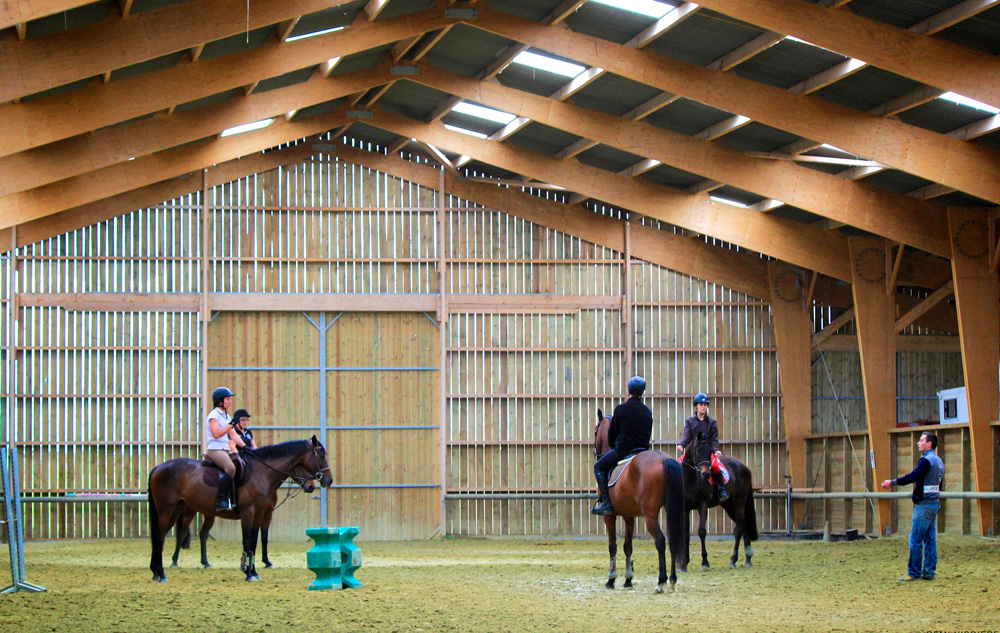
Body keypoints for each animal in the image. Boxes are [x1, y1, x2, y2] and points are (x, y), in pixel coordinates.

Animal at [168, 456, 316, 572]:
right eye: (300, 467)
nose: (311, 486)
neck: (263, 477)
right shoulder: (251, 513)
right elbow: (250, 538)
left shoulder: (266, 514)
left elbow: (263, 538)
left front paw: (266, 562)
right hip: (189, 511)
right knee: (182, 532)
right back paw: (175, 561)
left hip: (208, 513)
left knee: (203, 534)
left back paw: (206, 563)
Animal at [592, 410, 688, 592]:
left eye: (595, 431)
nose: (596, 452)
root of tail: (664, 459)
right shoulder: (629, 516)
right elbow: (628, 546)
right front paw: (628, 579)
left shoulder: (609, 515)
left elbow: (612, 545)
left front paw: (611, 579)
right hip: (671, 510)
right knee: (672, 539)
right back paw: (672, 580)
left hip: (650, 514)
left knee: (660, 540)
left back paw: (661, 581)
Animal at [680, 432, 756, 572]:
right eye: (697, 450)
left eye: (710, 451)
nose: (706, 474)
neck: (690, 479)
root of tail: (743, 466)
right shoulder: (685, 508)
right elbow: (686, 535)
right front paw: (684, 564)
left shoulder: (702, 505)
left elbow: (701, 531)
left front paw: (705, 562)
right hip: (729, 505)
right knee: (743, 525)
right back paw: (748, 558)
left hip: (739, 501)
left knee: (739, 528)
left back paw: (733, 560)